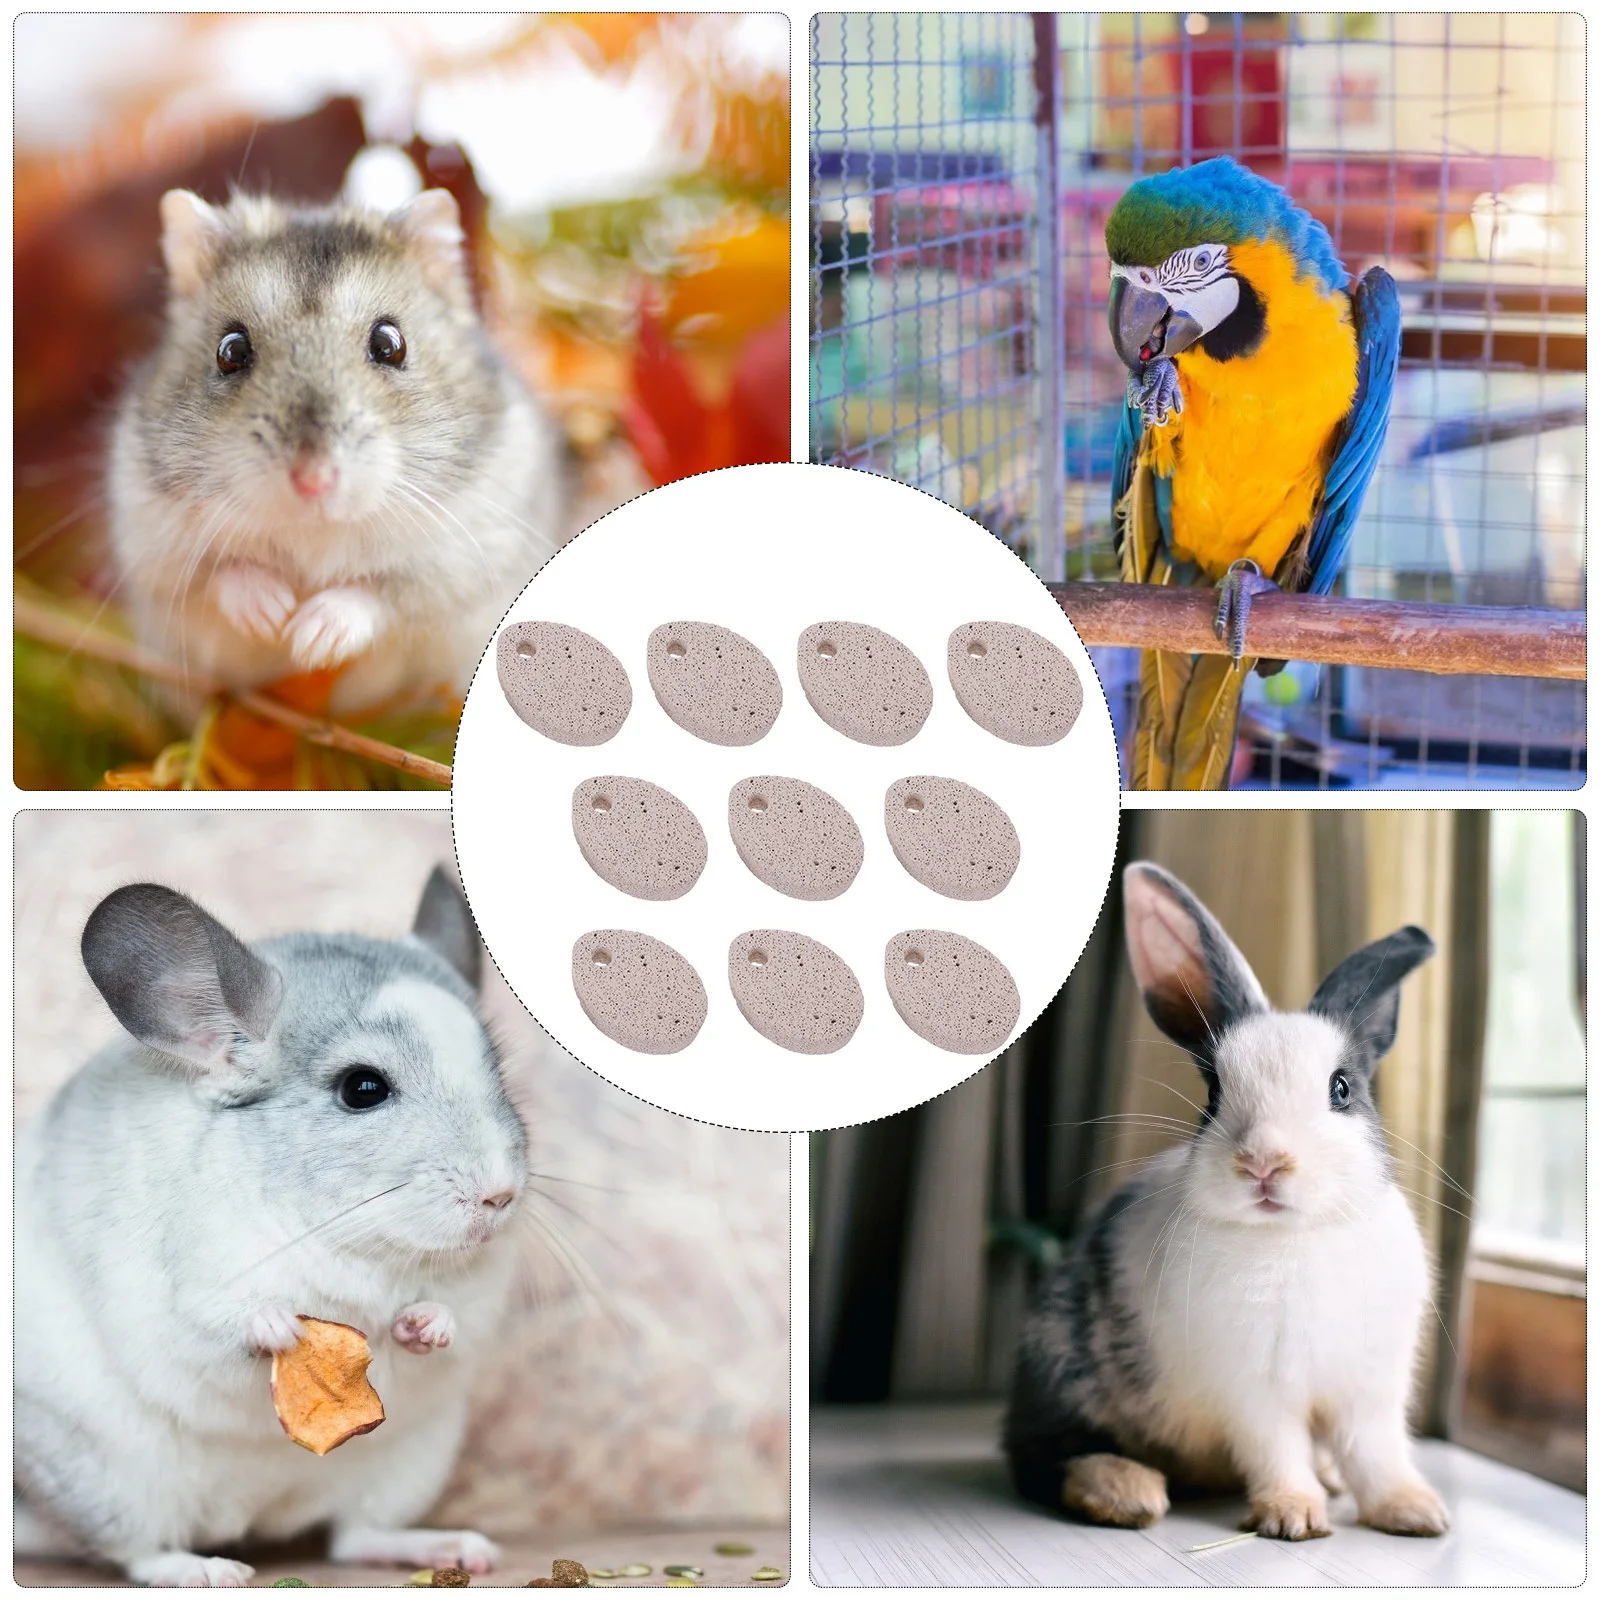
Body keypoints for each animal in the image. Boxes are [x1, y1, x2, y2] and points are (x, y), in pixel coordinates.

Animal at [14, 869, 527, 1586]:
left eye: (497, 1075)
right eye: (362, 1088)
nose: (500, 1195)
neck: (350, 1240)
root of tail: (249, 1518)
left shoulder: (479, 1297)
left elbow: (456, 1323)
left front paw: (426, 1325)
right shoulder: (187, 1294)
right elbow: (218, 1331)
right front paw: (277, 1326)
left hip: (409, 1465)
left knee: (352, 1536)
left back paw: (451, 1548)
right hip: (107, 1480)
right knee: (136, 1551)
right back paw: (204, 1571)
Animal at [1004, 861, 1451, 1542]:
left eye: (1341, 1088)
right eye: (1213, 1093)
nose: (1263, 1162)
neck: (1295, 1236)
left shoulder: (1370, 1389)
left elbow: (1377, 1453)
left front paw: (1416, 1513)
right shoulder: (1254, 1391)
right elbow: (1278, 1450)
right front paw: (1293, 1517)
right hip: (1063, 1369)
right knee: (1043, 1456)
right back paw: (1126, 1490)